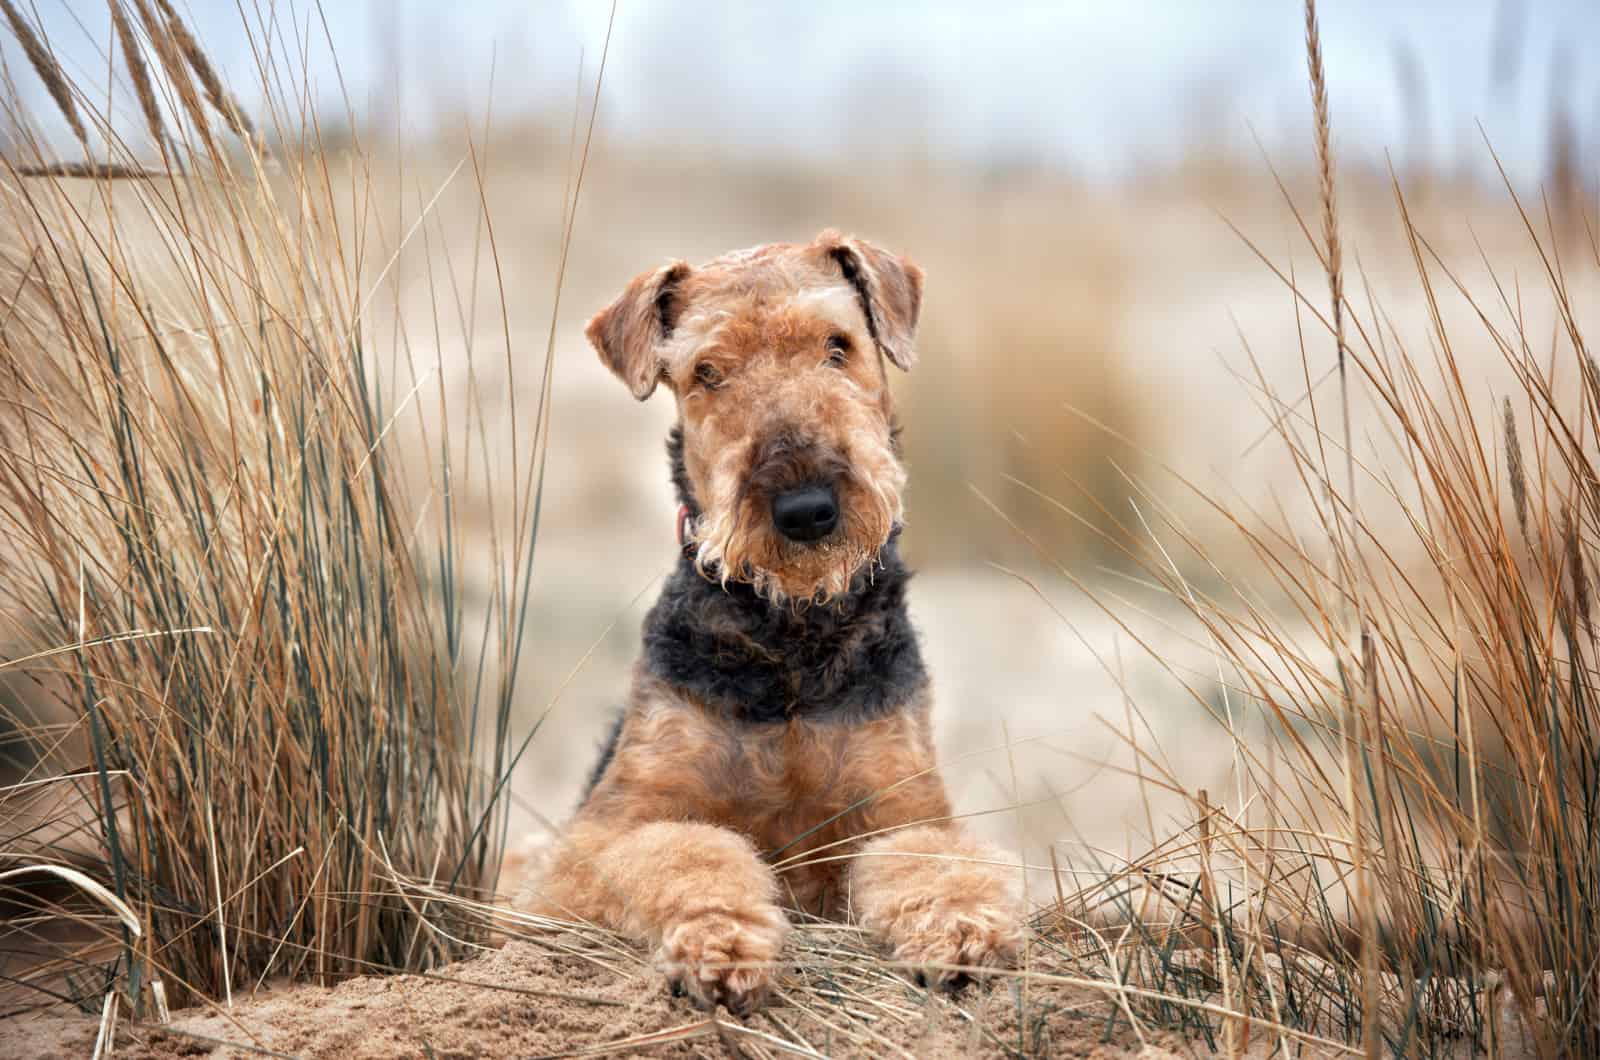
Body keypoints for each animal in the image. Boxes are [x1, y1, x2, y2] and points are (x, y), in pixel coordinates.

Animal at [521, 235, 1024, 1024]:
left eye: (837, 345)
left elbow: (934, 861)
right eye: (707, 371)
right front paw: (721, 942)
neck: (792, 638)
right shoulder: (594, 842)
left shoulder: (905, 809)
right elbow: (687, 850)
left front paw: (962, 931)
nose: (806, 509)